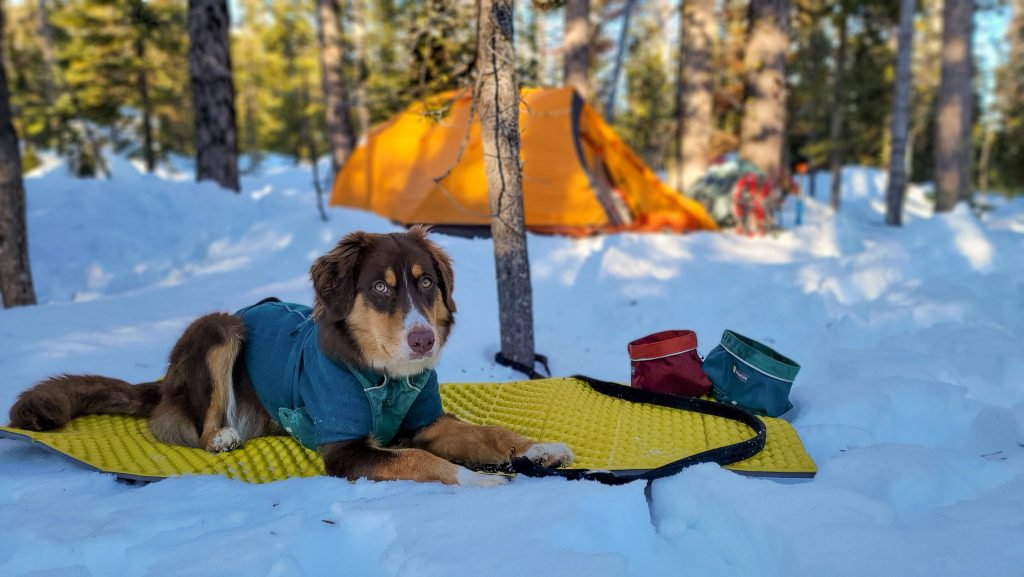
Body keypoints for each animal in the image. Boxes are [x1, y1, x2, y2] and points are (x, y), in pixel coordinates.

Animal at [8, 228, 573, 485]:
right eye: (380, 288)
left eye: (427, 284)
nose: (422, 340)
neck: (385, 379)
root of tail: (166, 379)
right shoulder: (346, 449)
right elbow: (424, 459)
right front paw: (480, 478)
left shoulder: (427, 421)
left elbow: (487, 433)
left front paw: (539, 448)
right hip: (220, 327)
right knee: (194, 424)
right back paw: (222, 436)